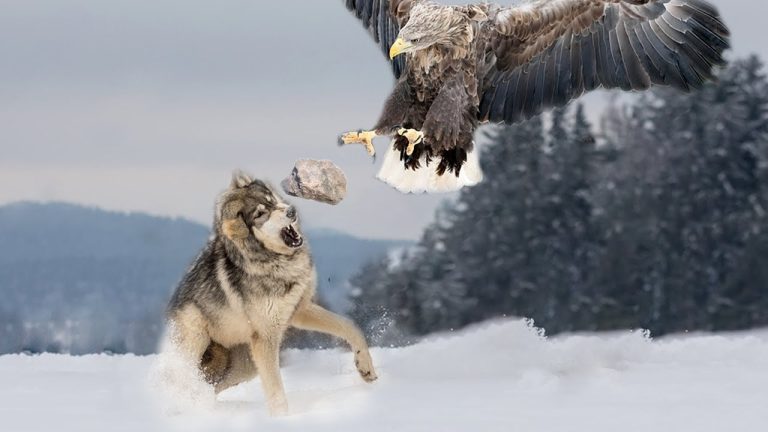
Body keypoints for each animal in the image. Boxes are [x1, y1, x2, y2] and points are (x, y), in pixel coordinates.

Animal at [165, 171, 377, 415]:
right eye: (260, 214)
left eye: (271, 199)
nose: (291, 210)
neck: (278, 264)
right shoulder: (266, 339)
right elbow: (277, 393)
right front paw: (282, 419)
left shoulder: (300, 310)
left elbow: (350, 326)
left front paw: (366, 368)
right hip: (196, 345)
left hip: (242, 367)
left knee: (208, 388)